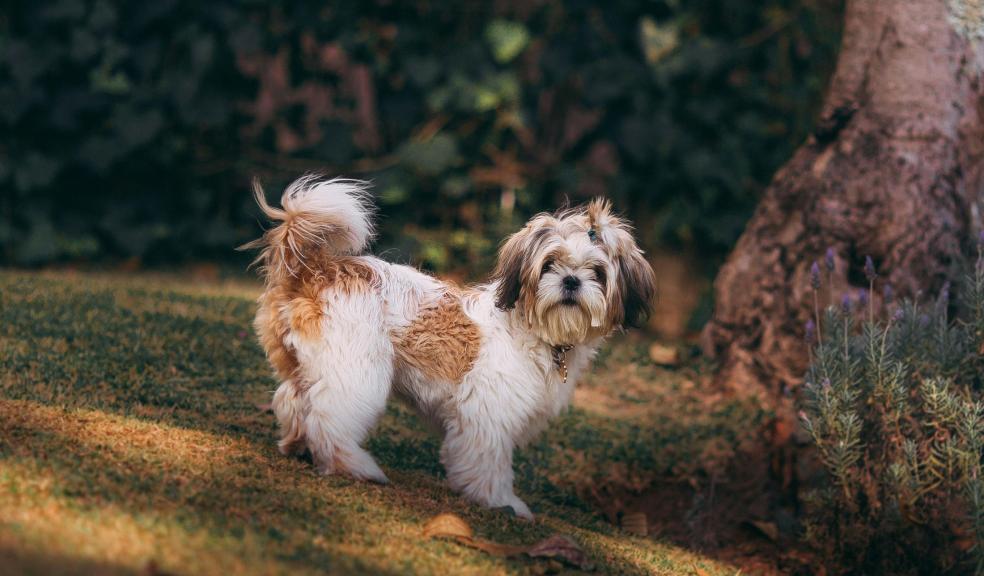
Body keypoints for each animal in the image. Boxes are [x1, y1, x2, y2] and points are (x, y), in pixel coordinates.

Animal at [243, 173, 656, 520]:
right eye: (549, 264)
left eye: (598, 273)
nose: (571, 281)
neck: (536, 331)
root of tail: (316, 270)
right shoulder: (488, 412)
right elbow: (488, 462)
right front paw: (501, 501)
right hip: (356, 370)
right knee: (329, 418)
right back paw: (354, 465)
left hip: (307, 362)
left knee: (293, 400)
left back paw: (298, 445)